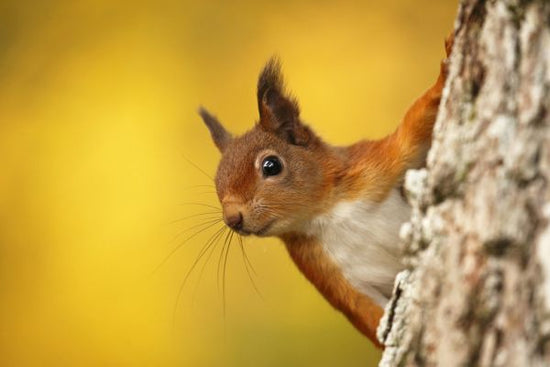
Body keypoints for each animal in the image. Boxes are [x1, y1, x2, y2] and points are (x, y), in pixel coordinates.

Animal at [201, 36, 454, 348]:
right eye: (216, 183)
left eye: (271, 165)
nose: (232, 218)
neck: (326, 213)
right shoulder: (325, 272)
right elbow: (366, 313)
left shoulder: (376, 167)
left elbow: (413, 126)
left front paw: (447, 63)